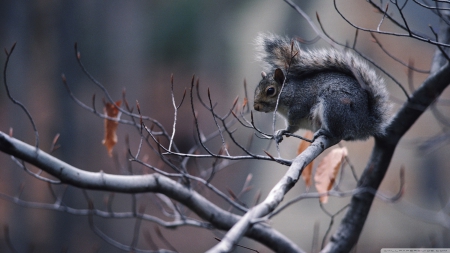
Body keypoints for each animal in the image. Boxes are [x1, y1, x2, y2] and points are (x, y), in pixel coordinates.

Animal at [253, 33, 390, 143]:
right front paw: (281, 132)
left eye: (270, 91)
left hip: (334, 105)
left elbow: (293, 124)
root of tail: (365, 123)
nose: (256, 107)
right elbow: (292, 129)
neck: (291, 92)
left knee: (338, 132)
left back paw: (325, 132)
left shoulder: (300, 106)